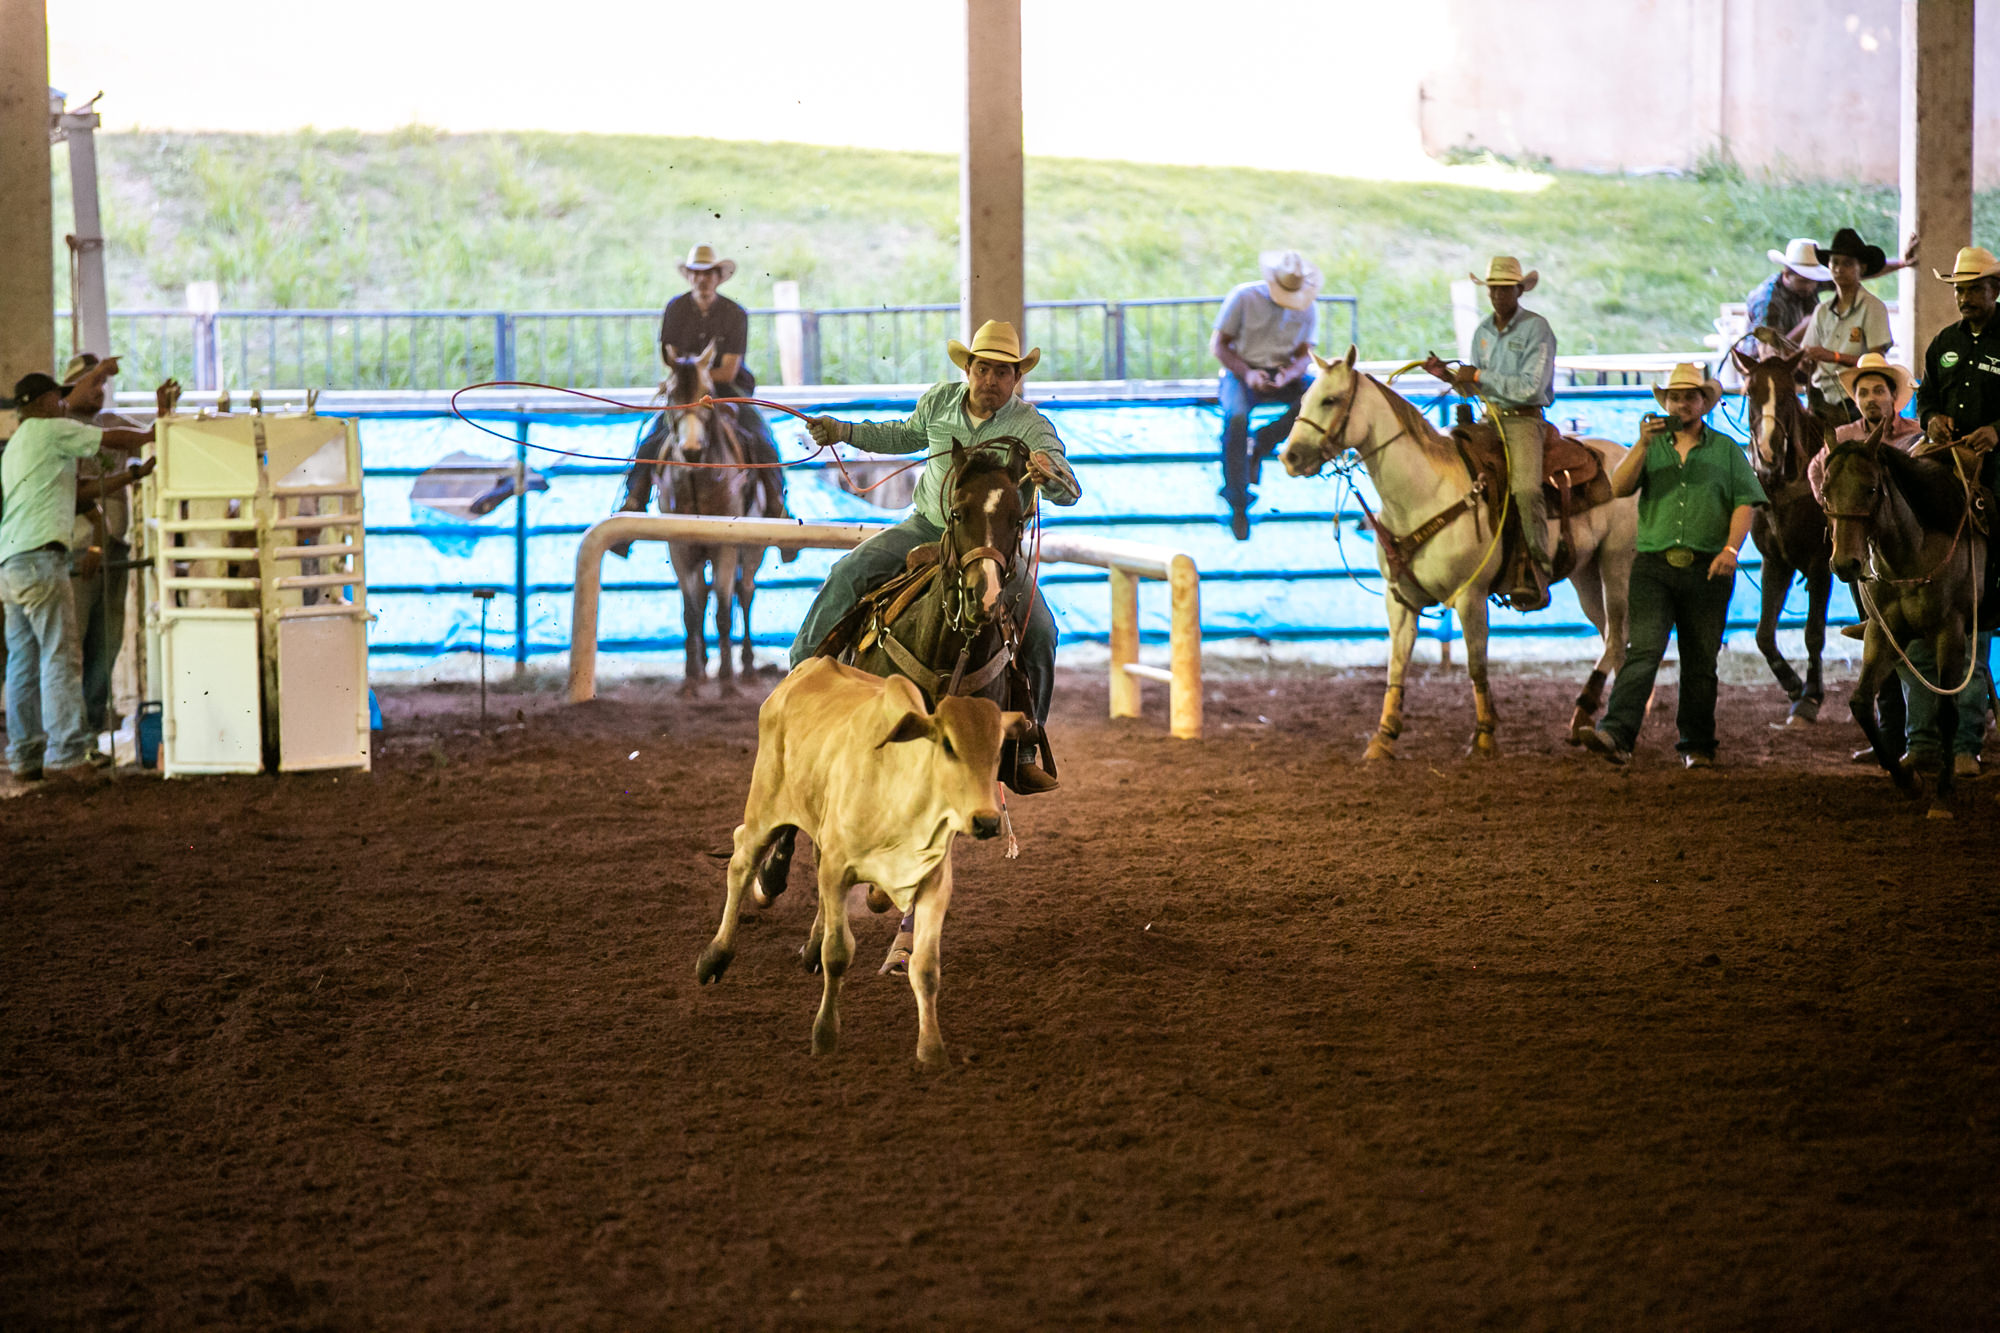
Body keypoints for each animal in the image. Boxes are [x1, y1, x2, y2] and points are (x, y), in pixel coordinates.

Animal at [1288, 344, 1632, 756]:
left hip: (1617, 564)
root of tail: (1625, 454)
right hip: (1585, 574)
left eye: (1331, 399)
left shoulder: (1471, 595)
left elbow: (1476, 664)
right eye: (1304, 398)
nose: (1289, 457)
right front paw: (1383, 737)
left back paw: (1585, 715)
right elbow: (1397, 664)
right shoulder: (1400, 599)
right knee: (1614, 636)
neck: (1423, 495)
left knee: (1616, 639)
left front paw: (1484, 735)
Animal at [1832, 426, 1984, 816]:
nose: (1845, 564)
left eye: (1871, 488)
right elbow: (1860, 702)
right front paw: (1909, 781)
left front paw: (1943, 796)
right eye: (1825, 491)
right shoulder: (1883, 633)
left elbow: (1947, 711)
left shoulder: (1951, 632)